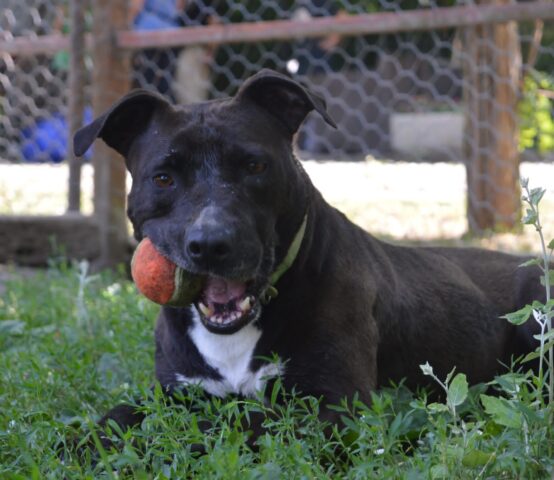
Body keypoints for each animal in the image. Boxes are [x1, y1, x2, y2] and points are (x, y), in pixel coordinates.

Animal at [73, 67, 544, 442]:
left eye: (254, 166)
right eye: (164, 178)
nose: (210, 243)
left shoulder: (331, 405)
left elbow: (236, 423)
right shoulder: (176, 390)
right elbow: (120, 414)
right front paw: (82, 443)